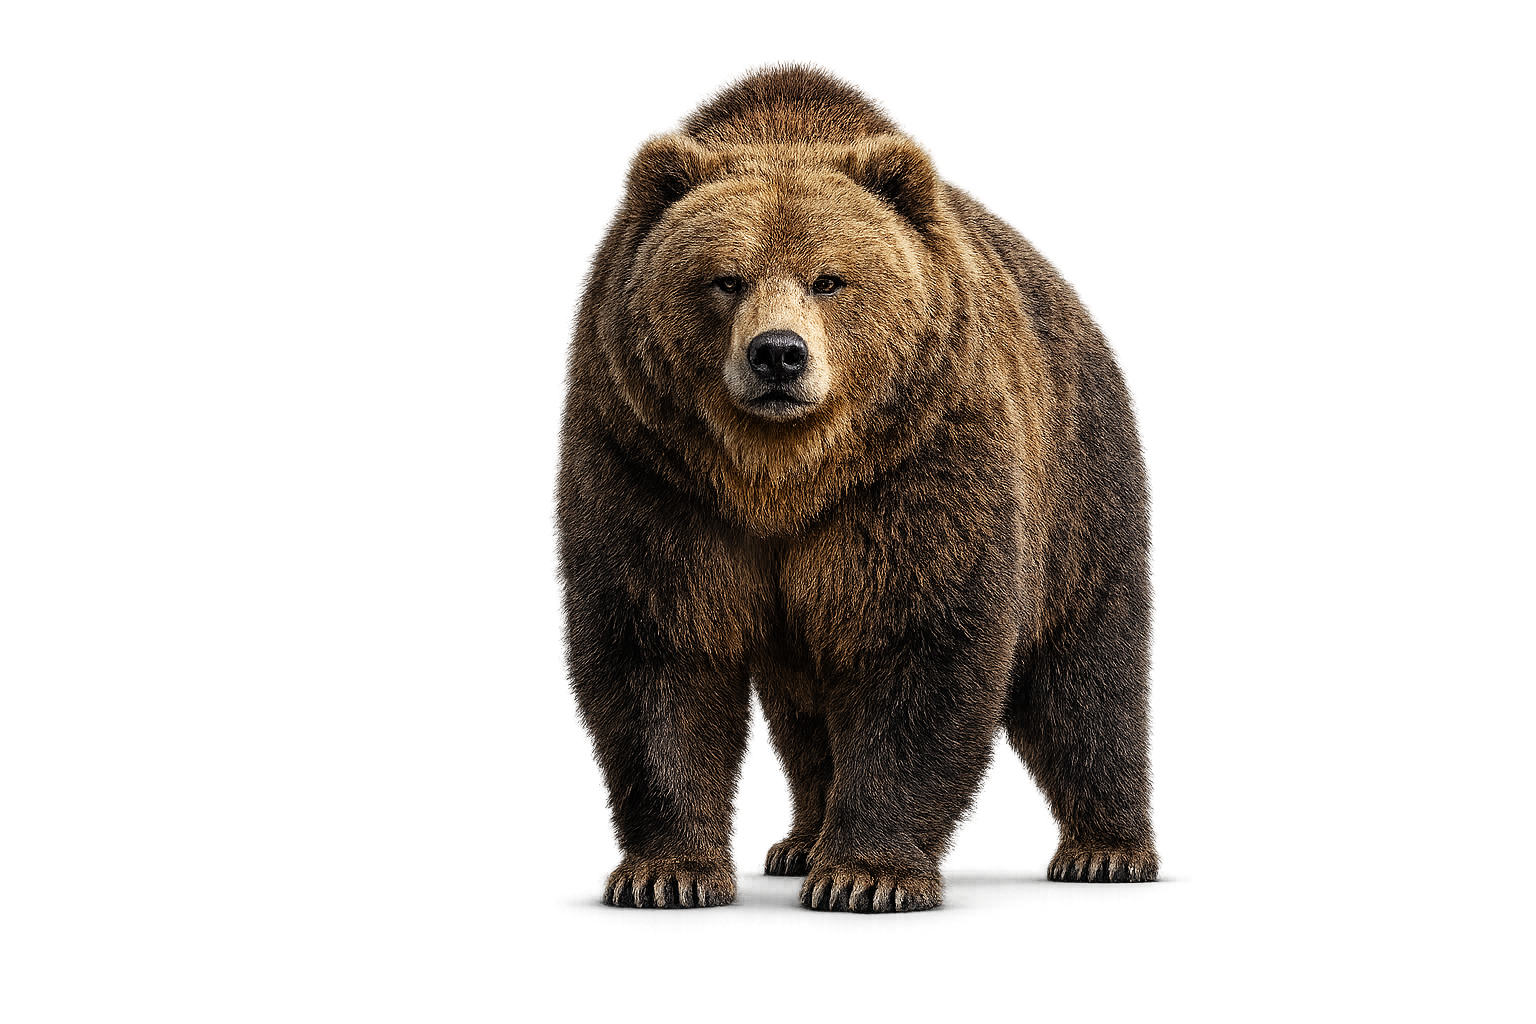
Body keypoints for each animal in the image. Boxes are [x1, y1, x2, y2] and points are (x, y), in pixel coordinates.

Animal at [559, 66, 1157, 912]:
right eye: (725, 279)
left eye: (830, 280)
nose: (779, 355)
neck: (782, 474)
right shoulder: (652, 467)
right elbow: (662, 642)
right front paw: (665, 871)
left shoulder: (917, 465)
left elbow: (917, 639)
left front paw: (865, 874)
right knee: (808, 714)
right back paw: (797, 840)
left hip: (1082, 482)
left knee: (1088, 673)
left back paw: (1107, 848)